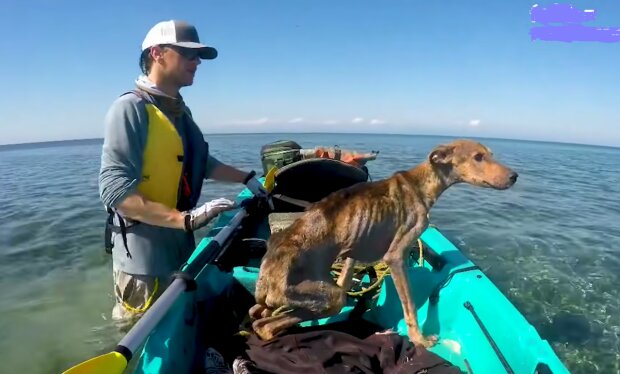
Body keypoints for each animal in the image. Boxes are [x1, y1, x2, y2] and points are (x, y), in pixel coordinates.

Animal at [249, 140, 516, 348]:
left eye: (490, 153)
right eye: (478, 157)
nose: (515, 176)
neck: (421, 184)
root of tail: (266, 271)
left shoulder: (356, 248)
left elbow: (346, 275)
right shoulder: (395, 257)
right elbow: (409, 307)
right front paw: (419, 340)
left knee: (260, 319)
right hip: (327, 297)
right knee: (266, 324)